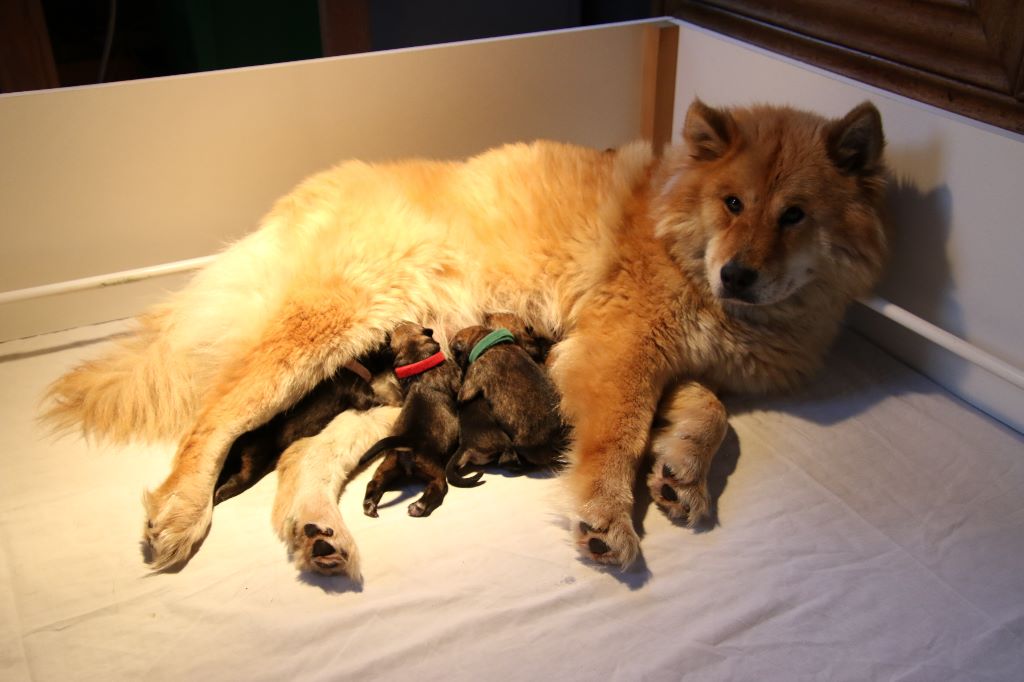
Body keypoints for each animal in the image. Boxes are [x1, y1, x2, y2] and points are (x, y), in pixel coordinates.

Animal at [211, 348, 399, 501]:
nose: (393, 349)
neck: (357, 364)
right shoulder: (358, 391)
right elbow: (373, 399)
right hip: (257, 450)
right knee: (245, 475)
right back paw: (221, 493)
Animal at [356, 321, 460, 518]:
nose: (396, 323)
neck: (417, 359)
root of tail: (407, 441)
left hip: (388, 464)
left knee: (374, 482)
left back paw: (369, 504)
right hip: (433, 468)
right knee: (438, 485)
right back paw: (419, 506)